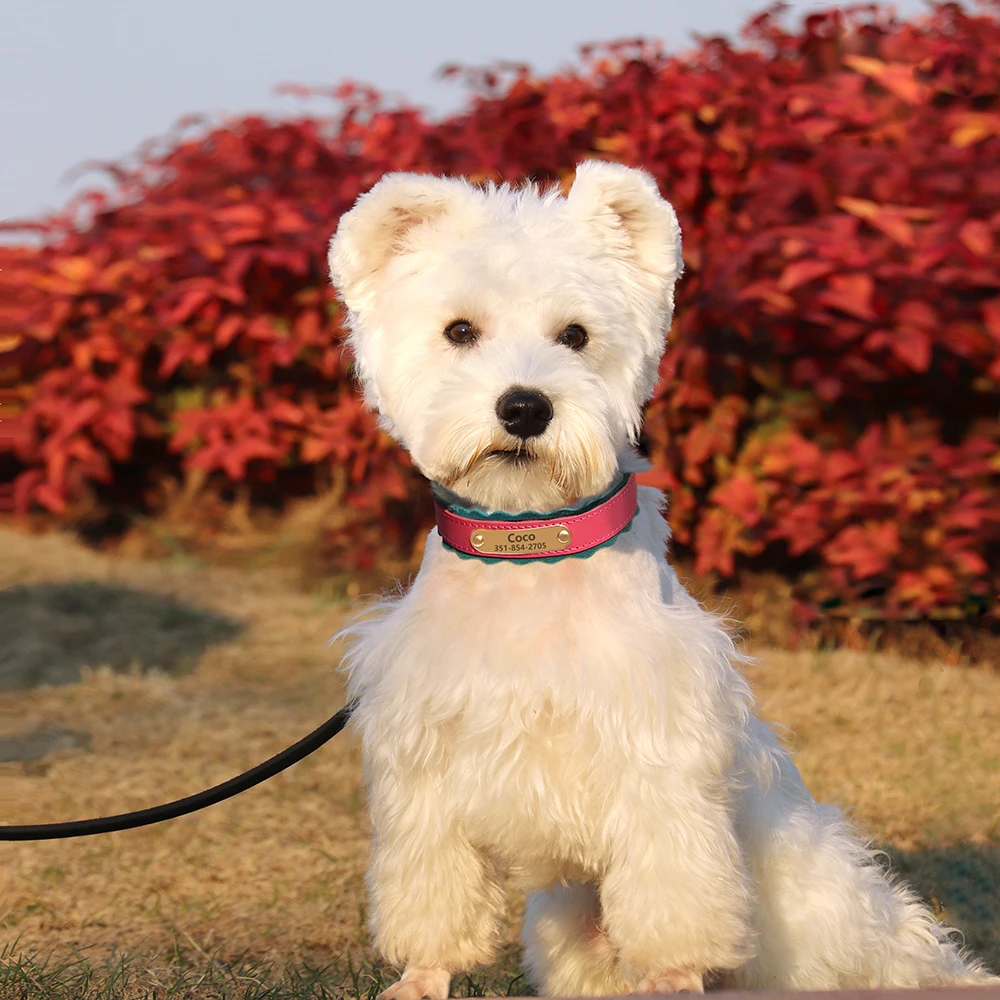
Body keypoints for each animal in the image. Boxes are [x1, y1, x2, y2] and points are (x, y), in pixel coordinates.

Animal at [326, 160, 992, 996]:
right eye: (459, 331)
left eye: (576, 335)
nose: (525, 407)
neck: (531, 554)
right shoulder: (424, 769)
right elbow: (432, 901)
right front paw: (420, 978)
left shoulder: (658, 771)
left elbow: (674, 910)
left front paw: (673, 977)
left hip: (820, 904)